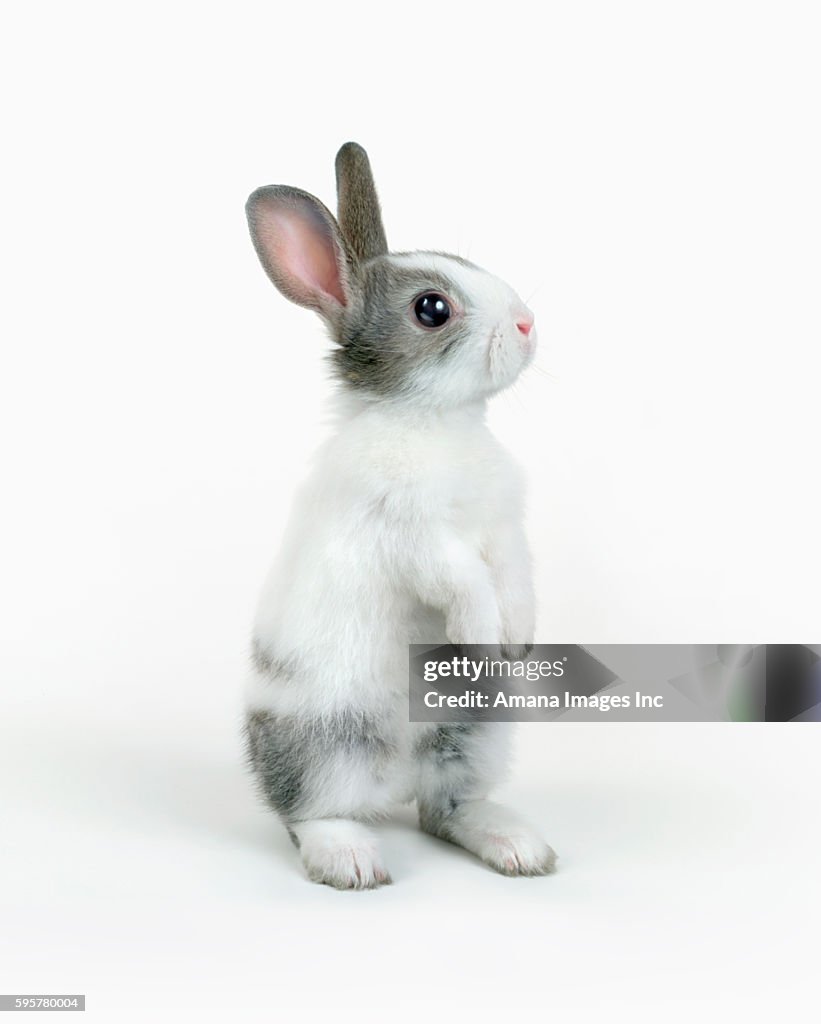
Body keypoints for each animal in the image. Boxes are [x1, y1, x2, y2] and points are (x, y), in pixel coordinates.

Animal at [242, 142, 556, 888]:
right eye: (432, 308)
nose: (527, 323)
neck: (435, 420)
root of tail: (393, 782)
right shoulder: (417, 538)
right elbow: (464, 581)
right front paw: (481, 640)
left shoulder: (505, 530)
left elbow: (513, 577)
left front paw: (518, 642)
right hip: (324, 749)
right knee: (307, 814)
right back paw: (351, 860)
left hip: (474, 737)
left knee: (445, 809)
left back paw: (516, 846)